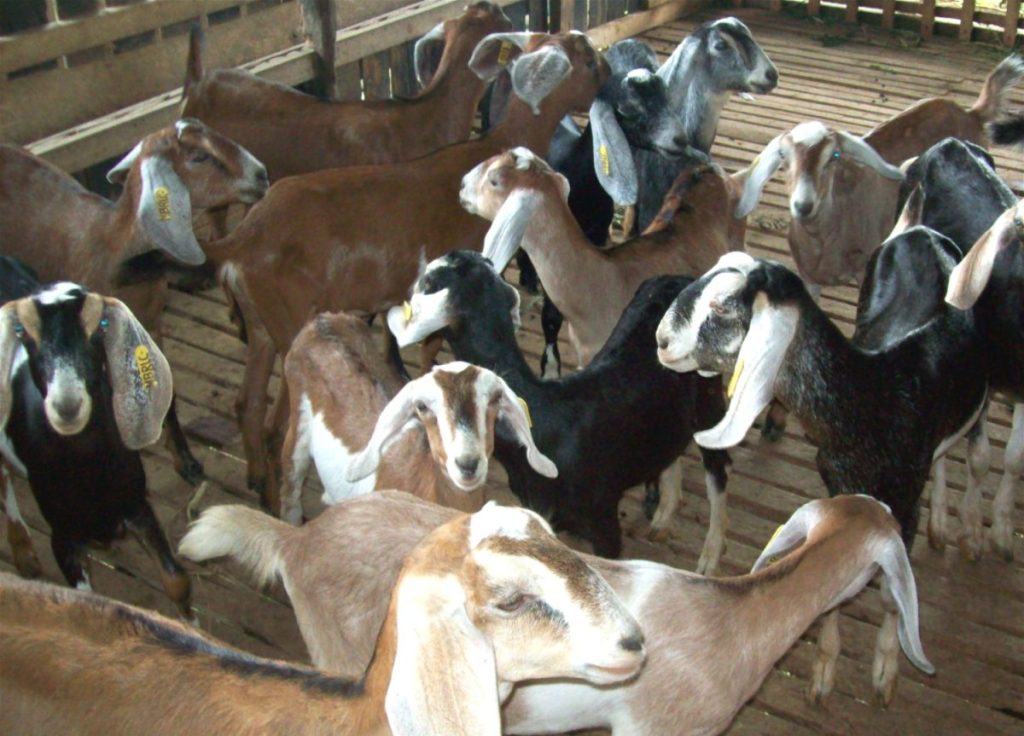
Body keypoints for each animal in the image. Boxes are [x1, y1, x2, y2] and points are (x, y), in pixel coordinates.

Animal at [0, 119, 268, 487]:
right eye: (199, 156)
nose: (262, 175)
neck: (112, 241)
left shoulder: (150, 325)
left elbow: (166, 392)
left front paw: (186, 462)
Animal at [0, 259, 190, 618]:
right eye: (21, 331)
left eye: (101, 325)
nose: (68, 406)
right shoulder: (62, 537)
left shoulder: (138, 506)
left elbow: (176, 580)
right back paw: (25, 554)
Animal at [386, 251, 730, 567]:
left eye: (427, 282)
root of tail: (685, 279)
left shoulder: (603, 518)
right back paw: (662, 518)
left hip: (710, 397)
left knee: (718, 471)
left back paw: (710, 556)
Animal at [656, 246, 985, 703]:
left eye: (721, 306)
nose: (661, 340)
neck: (871, 397)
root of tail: (929, 237)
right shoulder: (841, 489)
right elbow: (835, 584)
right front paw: (825, 669)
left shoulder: (904, 507)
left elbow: (890, 597)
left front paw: (885, 672)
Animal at [736, 54, 1024, 291]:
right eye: (783, 157)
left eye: (834, 157)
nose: (804, 205)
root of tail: (972, 114)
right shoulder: (810, 279)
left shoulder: (867, 269)